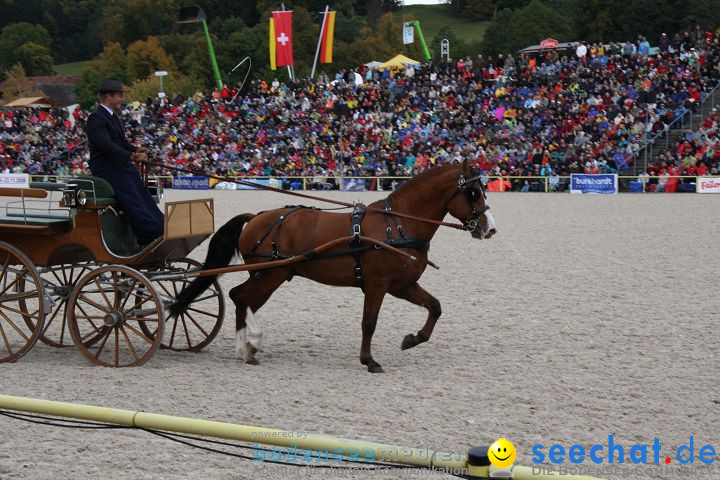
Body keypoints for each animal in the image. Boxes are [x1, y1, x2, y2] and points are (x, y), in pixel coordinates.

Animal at [170, 159, 496, 374]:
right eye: (472, 192)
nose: (489, 228)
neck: (398, 224)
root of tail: (257, 216)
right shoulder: (377, 285)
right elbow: (369, 322)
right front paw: (369, 361)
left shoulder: (402, 285)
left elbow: (435, 307)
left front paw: (412, 339)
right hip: (271, 274)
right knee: (240, 297)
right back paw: (248, 345)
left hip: (271, 275)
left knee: (243, 299)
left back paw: (246, 348)